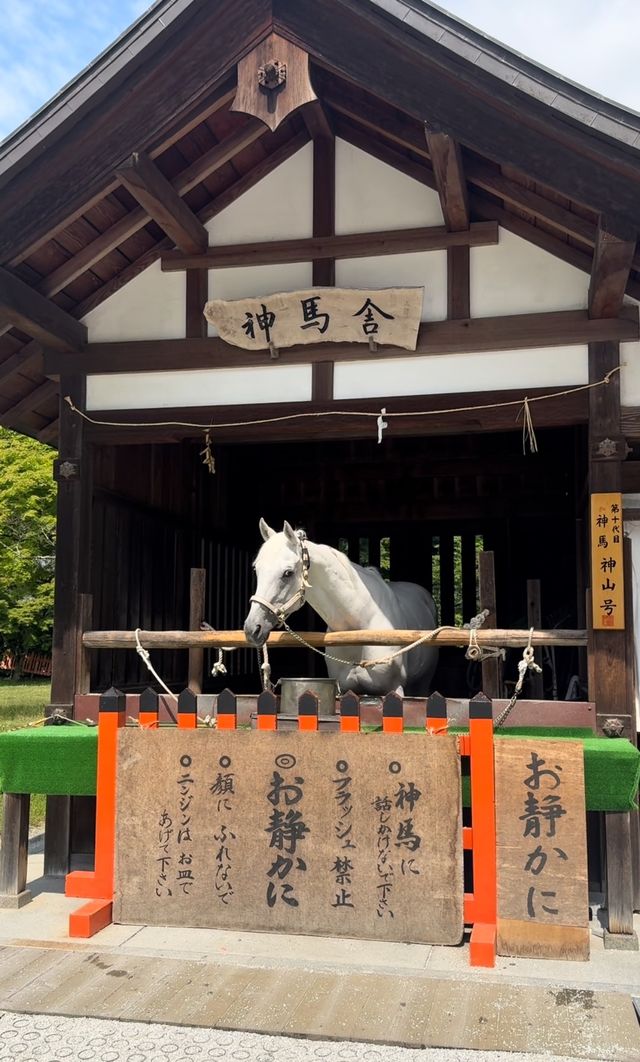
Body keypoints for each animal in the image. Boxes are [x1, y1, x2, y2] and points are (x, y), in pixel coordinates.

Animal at [243, 516, 437, 696]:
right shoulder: (342, 689)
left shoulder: (394, 689)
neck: (359, 627)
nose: (252, 628)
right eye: (256, 569)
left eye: (287, 573)